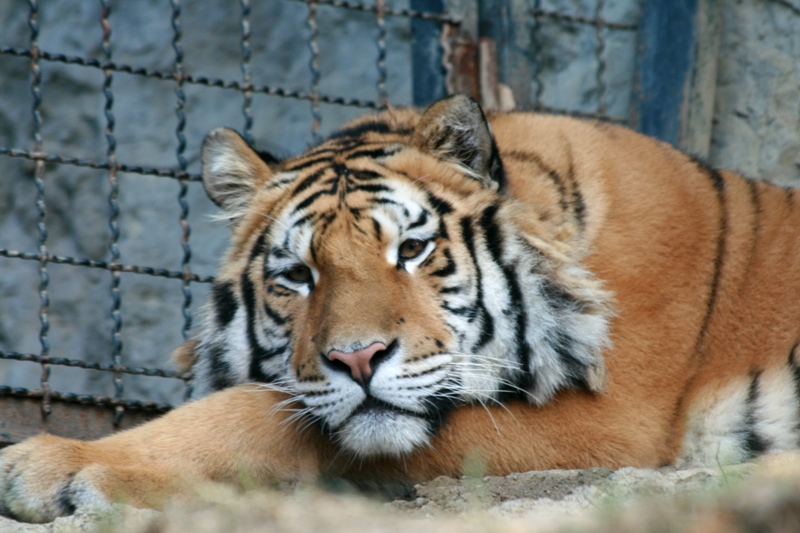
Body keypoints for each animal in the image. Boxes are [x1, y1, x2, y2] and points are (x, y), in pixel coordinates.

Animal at [2, 95, 800, 523]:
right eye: (298, 274)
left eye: (412, 249)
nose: (357, 358)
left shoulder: (615, 420)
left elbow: (263, 416)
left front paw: (56, 463)